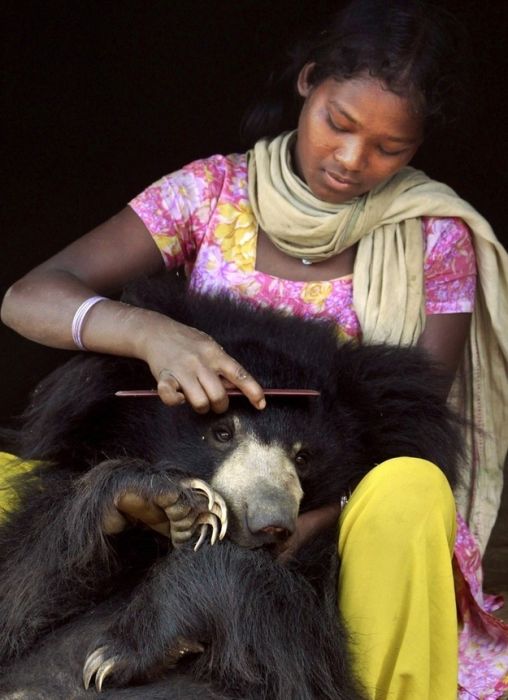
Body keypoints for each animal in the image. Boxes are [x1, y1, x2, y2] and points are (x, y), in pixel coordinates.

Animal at [0, 270, 460, 696]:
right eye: (222, 432)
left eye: (303, 457)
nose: (271, 523)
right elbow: (21, 586)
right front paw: (160, 497)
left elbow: (301, 658)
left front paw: (117, 654)